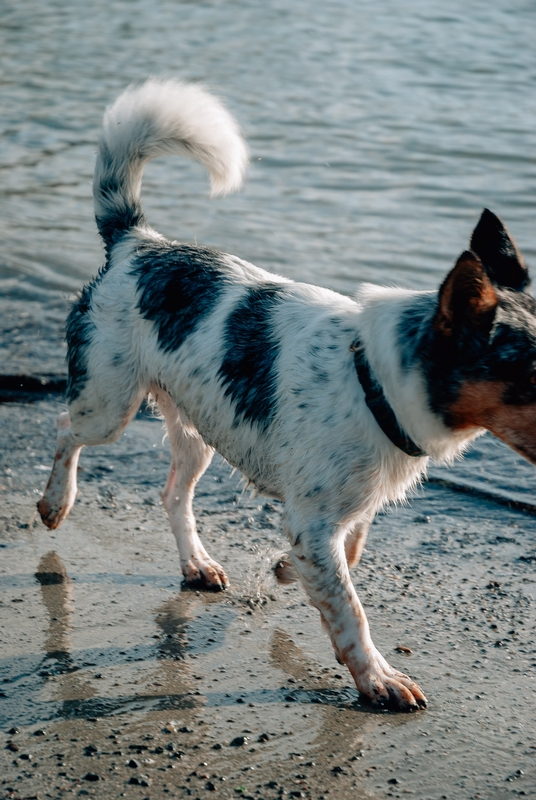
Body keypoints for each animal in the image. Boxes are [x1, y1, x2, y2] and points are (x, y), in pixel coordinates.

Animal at [38, 78, 536, 708]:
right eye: (533, 374)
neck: (372, 379)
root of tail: (138, 242)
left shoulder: (342, 512)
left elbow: (348, 556)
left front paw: (283, 570)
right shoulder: (315, 519)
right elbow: (350, 608)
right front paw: (378, 678)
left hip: (198, 429)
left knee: (174, 494)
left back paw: (197, 563)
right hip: (109, 404)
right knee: (66, 430)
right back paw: (56, 502)